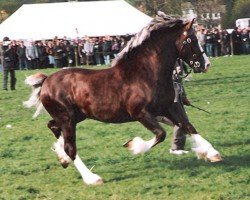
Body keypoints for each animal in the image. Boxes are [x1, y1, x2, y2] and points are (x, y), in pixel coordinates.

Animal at [23, 12, 221, 184]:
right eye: (192, 40)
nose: (206, 64)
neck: (146, 74)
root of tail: (46, 81)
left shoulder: (168, 108)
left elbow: (188, 126)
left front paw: (212, 153)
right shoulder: (140, 113)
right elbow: (161, 134)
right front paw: (133, 146)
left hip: (75, 116)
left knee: (53, 127)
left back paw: (63, 159)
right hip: (67, 118)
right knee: (70, 147)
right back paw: (91, 178)